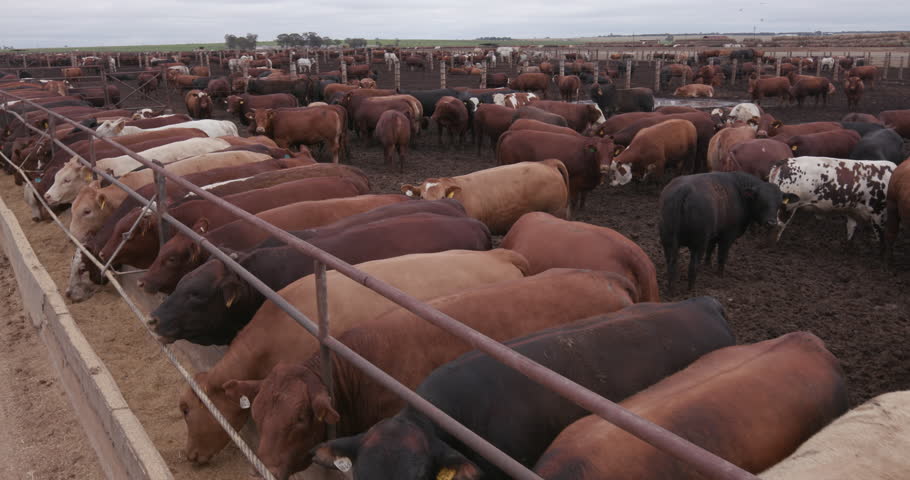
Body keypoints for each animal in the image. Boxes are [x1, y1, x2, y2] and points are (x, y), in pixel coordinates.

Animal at [660, 172, 788, 292]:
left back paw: (671, 289)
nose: (771, 223)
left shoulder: (714, 235)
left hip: (668, 242)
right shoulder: (727, 237)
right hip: (698, 245)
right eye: (761, 201)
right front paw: (720, 275)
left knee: (671, 264)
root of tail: (685, 189)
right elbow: (722, 256)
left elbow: (710, 249)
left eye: (779, 204)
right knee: (693, 266)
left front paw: (707, 265)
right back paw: (691, 290)